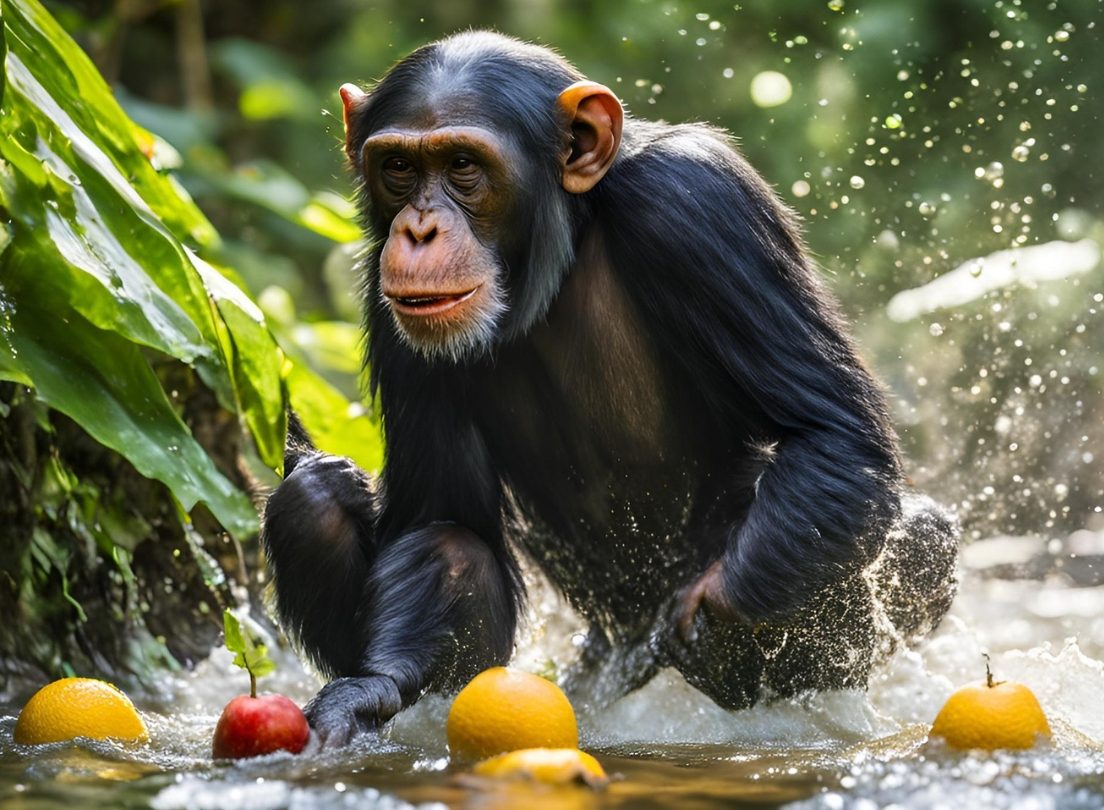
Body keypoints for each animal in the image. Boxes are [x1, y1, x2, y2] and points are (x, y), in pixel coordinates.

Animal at [260, 31, 958, 750]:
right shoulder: (386, 298)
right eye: (398, 167)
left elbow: (831, 433)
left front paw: (714, 627)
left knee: (917, 533)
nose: (418, 229)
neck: (564, 243)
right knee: (316, 500)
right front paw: (371, 687)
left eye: (462, 166)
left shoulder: (699, 200)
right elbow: (446, 526)